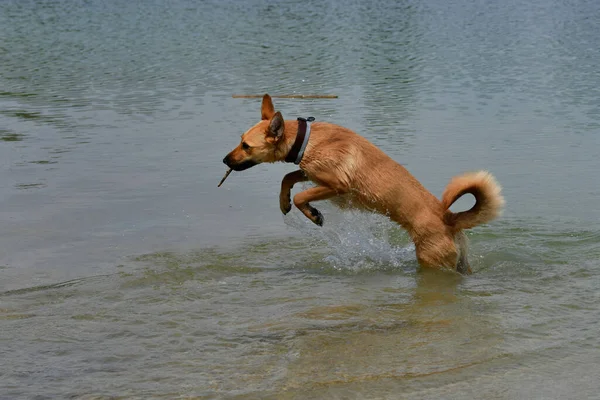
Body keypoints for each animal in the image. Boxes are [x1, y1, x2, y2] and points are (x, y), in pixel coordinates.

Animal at [223, 95, 504, 274]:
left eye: (246, 146)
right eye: (240, 140)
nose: (224, 159)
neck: (305, 140)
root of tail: (450, 218)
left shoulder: (337, 186)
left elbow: (302, 196)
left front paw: (314, 215)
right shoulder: (312, 174)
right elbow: (288, 177)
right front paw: (284, 202)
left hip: (431, 260)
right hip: (460, 262)